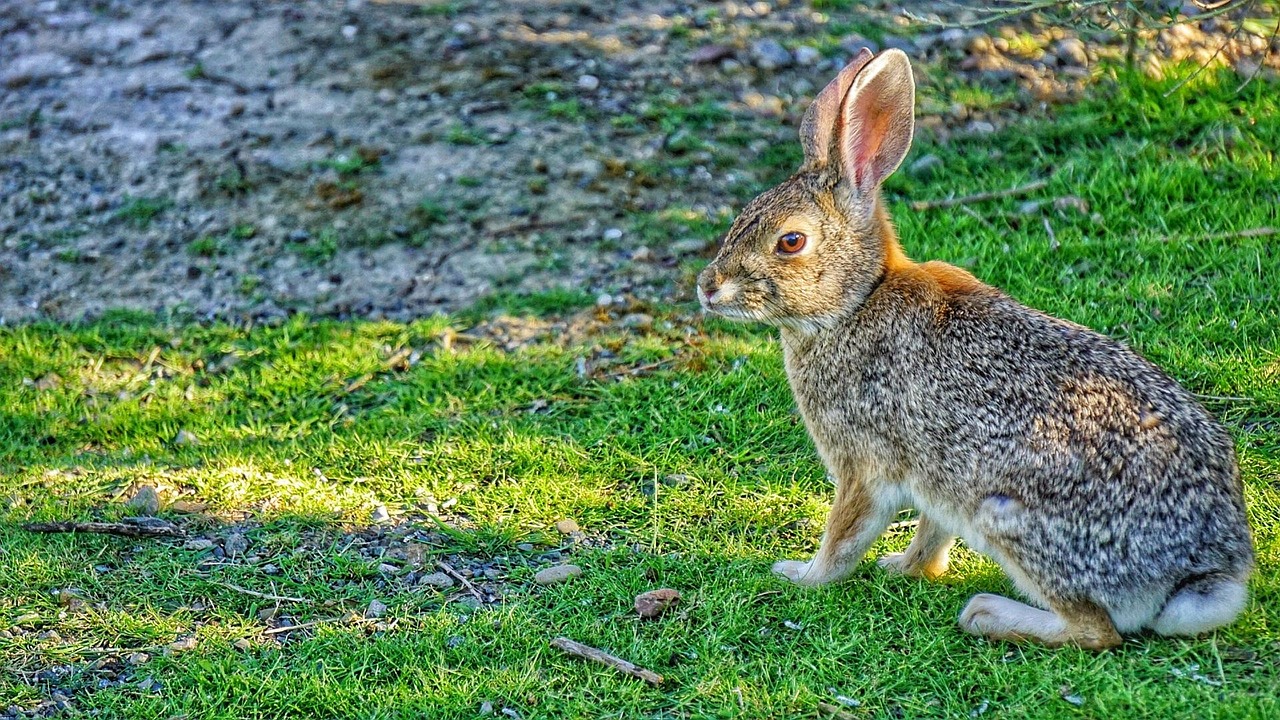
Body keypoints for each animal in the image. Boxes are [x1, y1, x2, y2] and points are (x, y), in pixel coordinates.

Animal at [696, 48, 1253, 649]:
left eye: (791, 241)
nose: (707, 287)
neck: (856, 300)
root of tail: (1203, 573)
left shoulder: (862, 465)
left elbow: (844, 537)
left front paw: (801, 575)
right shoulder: (936, 478)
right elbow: (930, 533)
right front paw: (903, 567)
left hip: (1008, 516)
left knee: (1095, 630)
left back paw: (986, 612)